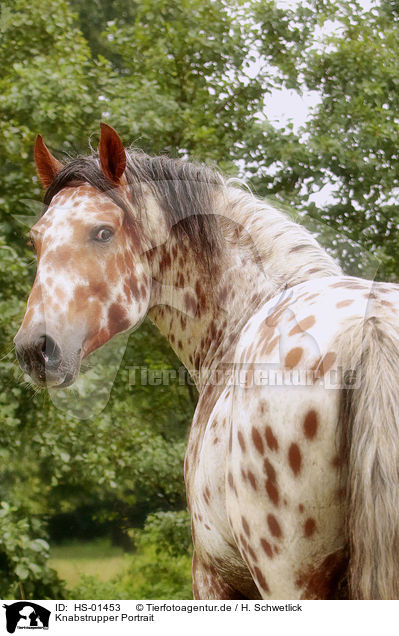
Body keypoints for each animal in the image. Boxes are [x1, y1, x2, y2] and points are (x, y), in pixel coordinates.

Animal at [15, 121, 399, 600]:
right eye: (36, 239)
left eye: (103, 232)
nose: (34, 349)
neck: (242, 316)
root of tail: (371, 328)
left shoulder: (210, 574)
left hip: (288, 580)